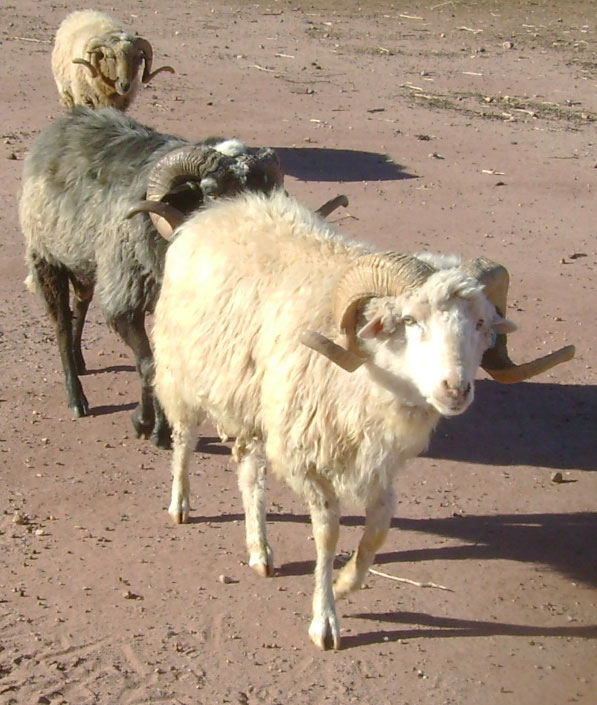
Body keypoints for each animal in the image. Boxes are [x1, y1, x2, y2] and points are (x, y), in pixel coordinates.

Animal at [144, 188, 572, 648]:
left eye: (481, 324)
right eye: (409, 320)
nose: (456, 389)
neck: (372, 373)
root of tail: (221, 207)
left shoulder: (378, 461)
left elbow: (380, 528)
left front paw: (348, 581)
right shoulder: (305, 457)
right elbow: (328, 534)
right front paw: (325, 618)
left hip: (252, 401)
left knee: (247, 467)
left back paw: (260, 549)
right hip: (182, 371)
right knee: (185, 439)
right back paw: (181, 503)